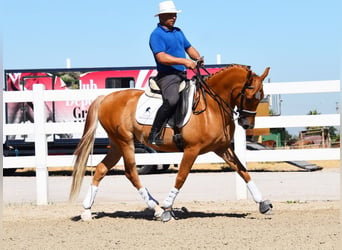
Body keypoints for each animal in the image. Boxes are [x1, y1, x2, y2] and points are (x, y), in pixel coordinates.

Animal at [69, 64, 272, 221]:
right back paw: (158, 209)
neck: (213, 107)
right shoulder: (192, 149)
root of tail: (105, 98)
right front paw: (167, 207)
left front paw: (263, 203)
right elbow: (181, 177)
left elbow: (242, 170)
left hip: (117, 145)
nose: (247, 124)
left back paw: (87, 211)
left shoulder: (222, 148)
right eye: (251, 97)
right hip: (125, 142)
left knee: (101, 169)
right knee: (131, 172)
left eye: (261, 96)